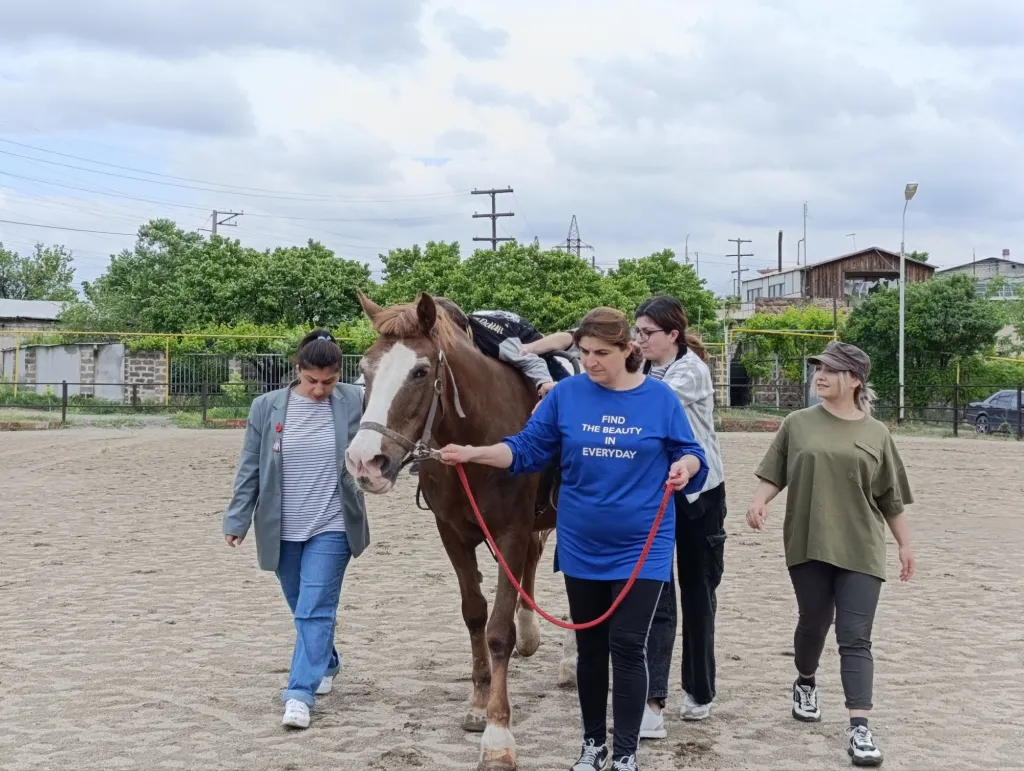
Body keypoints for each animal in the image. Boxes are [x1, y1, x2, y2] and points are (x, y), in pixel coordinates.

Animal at [344, 290, 569, 769]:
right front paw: (479, 702)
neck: (478, 439)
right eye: (365, 370)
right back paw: (532, 635)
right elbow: (475, 614)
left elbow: (498, 630)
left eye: (420, 371)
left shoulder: (510, 532)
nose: (364, 461)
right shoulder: (452, 533)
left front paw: (498, 734)